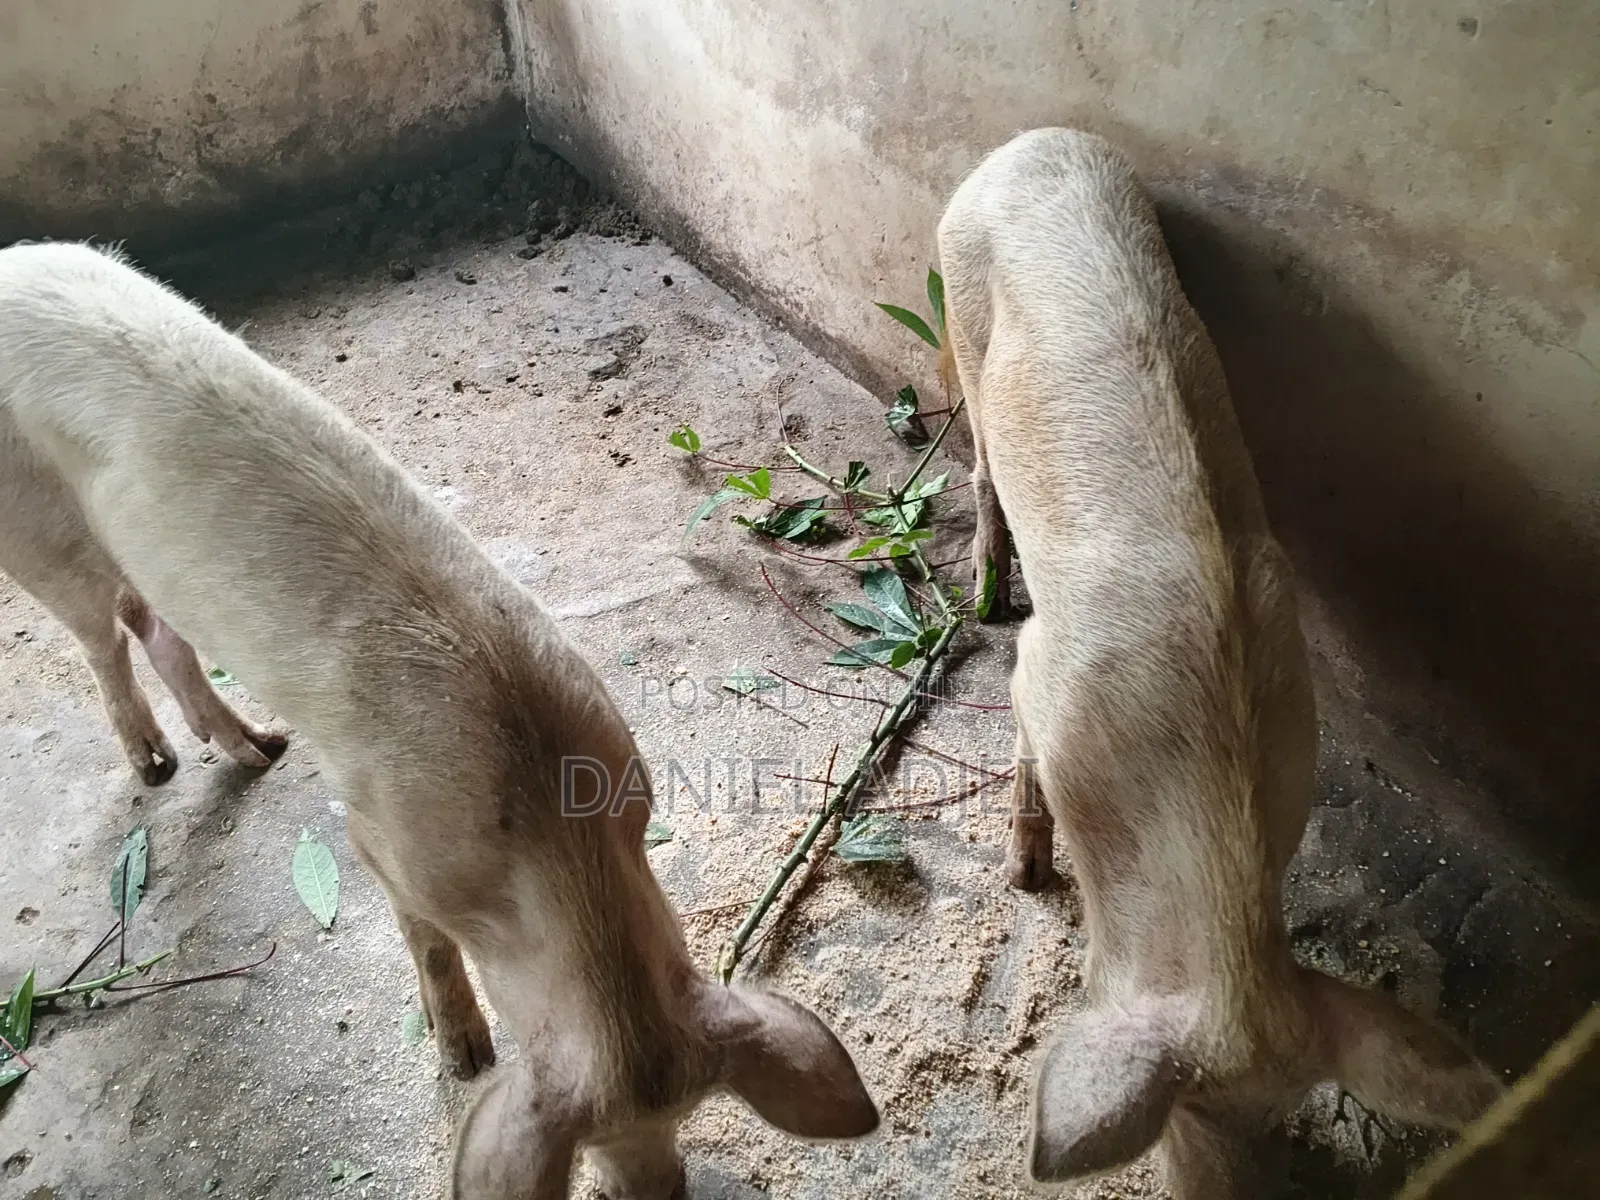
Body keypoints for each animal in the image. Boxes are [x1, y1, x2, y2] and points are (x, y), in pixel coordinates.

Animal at [0, 241, 878, 1199]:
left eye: (685, 1116)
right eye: (597, 1148)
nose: (662, 1190)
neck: (543, 825)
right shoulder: (384, 835)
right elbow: (423, 939)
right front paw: (464, 1059)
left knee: (151, 622)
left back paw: (260, 751)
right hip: (38, 530)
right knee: (100, 634)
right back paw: (154, 764)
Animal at [935, 129, 1501, 1196]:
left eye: (1290, 1110)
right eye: (1181, 1113)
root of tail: (1030, 142)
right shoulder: (1044, 677)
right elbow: (1022, 720)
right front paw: (1024, 878)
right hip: (957, 300)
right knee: (980, 458)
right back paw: (984, 587)